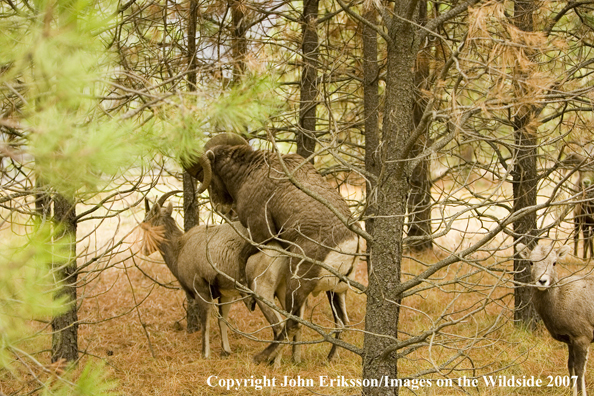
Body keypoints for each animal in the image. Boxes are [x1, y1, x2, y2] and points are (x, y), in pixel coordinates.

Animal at [141, 191, 302, 366]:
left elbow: (206, 323)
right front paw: (226, 351)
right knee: (294, 322)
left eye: (146, 223)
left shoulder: (202, 291)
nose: (144, 250)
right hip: (283, 288)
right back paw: (295, 359)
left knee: (280, 325)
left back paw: (275, 364)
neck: (180, 249)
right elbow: (222, 320)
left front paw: (205, 354)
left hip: (261, 289)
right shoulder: (225, 295)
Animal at [183, 133, 356, 366]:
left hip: (296, 284)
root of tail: (346, 248)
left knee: (290, 324)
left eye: (203, 174)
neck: (248, 174)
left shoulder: (260, 234)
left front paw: (248, 299)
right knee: (341, 322)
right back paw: (328, 358)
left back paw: (262, 357)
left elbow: (242, 257)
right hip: (335, 292)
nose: (221, 207)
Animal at [512, 241, 592, 396]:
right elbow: (570, 366)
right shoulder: (570, 340)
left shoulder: (582, 335)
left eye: (554, 262)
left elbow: (580, 370)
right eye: (531, 262)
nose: (542, 281)